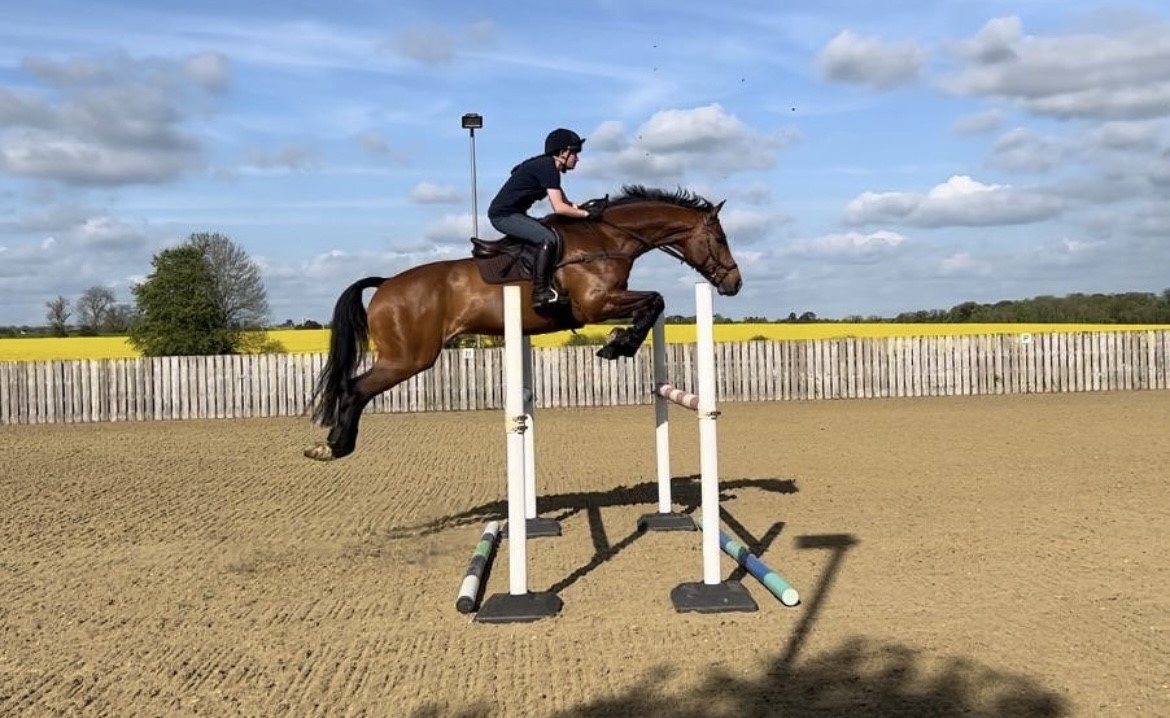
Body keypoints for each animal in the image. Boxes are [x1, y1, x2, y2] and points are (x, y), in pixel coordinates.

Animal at [304, 185, 742, 461]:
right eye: (721, 239)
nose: (735, 283)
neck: (606, 239)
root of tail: (385, 285)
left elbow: (652, 302)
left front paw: (619, 342)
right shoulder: (595, 305)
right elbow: (654, 300)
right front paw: (619, 343)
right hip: (408, 358)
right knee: (356, 388)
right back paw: (334, 447)